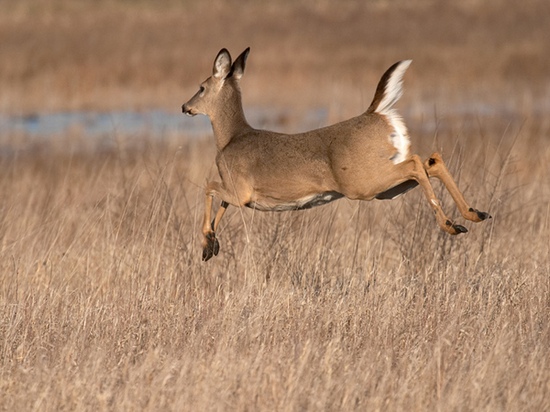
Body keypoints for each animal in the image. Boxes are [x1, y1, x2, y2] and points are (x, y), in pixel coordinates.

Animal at [183, 48, 494, 260]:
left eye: (201, 87)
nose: (185, 107)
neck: (230, 139)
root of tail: (376, 112)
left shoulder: (241, 190)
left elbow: (208, 187)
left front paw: (207, 242)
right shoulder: (236, 192)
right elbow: (220, 204)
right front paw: (211, 246)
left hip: (363, 183)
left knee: (417, 163)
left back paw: (450, 224)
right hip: (385, 186)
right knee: (431, 159)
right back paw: (474, 215)